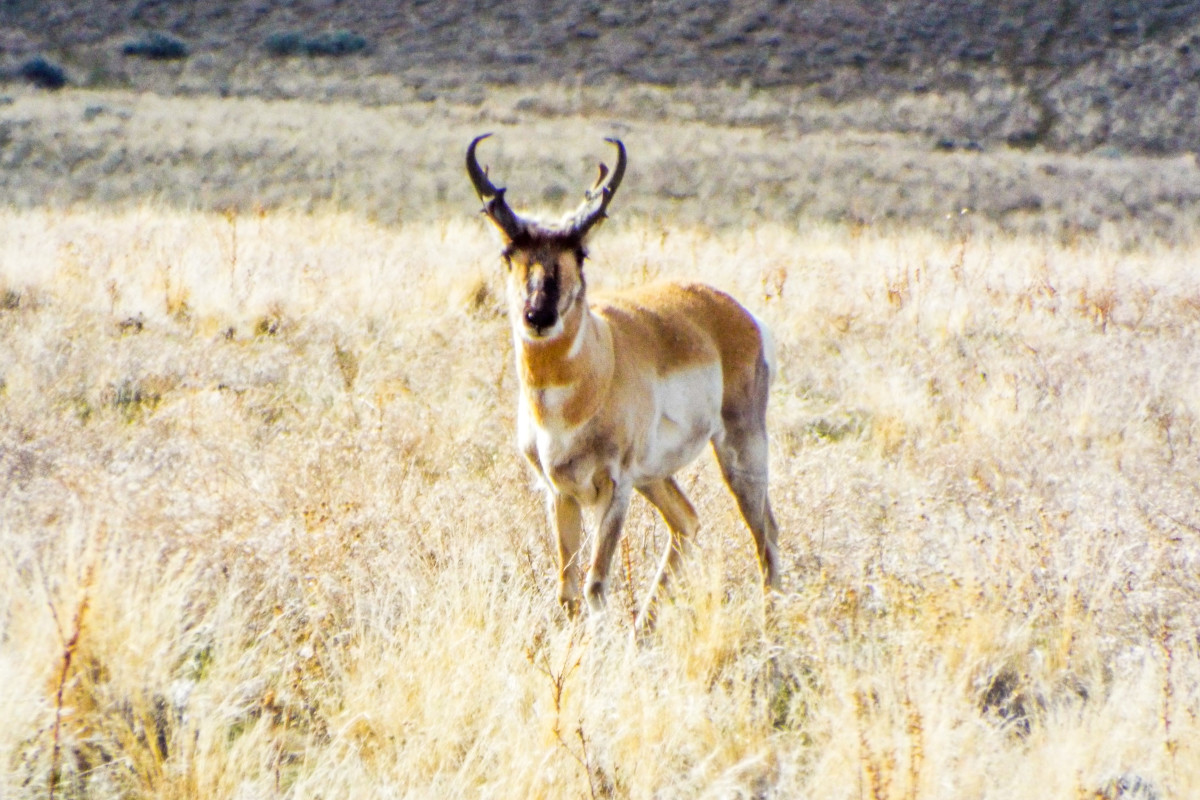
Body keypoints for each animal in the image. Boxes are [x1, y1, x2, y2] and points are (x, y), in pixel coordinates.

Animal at [463, 134, 782, 628]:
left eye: (580, 253)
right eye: (508, 253)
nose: (538, 316)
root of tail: (738, 313)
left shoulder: (615, 490)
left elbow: (595, 585)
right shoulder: (560, 493)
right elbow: (567, 590)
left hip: (739, 451)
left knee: (765, 531)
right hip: (655, 477)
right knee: (688, 520)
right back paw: (641, 627)